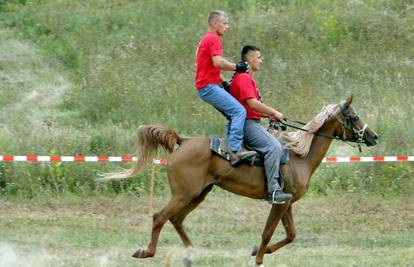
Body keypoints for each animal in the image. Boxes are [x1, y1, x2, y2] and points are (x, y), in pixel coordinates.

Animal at [102, 97, 376, 267]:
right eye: (353, 116)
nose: (374, 136)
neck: (300, 155)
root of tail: (182, 141)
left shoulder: (287, 203)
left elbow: (290, 235)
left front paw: (257, 251)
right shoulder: (279, 202)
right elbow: (268, 232)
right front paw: (259, 258)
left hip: (199, 193)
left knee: (176, 219)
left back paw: (191, 253)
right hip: (183, 194)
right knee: (159, 217)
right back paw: (146, 252)